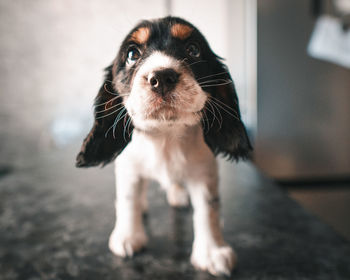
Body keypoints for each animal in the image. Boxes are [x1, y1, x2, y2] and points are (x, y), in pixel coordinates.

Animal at [76, 15, 252, 276]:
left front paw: (212, 252)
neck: (165, 135)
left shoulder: (204, 171)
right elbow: (127, 199)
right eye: (132, 54)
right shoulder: (128, 167)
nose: (161, 79)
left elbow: (208, 209)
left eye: (193, 49)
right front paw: (128, 237)